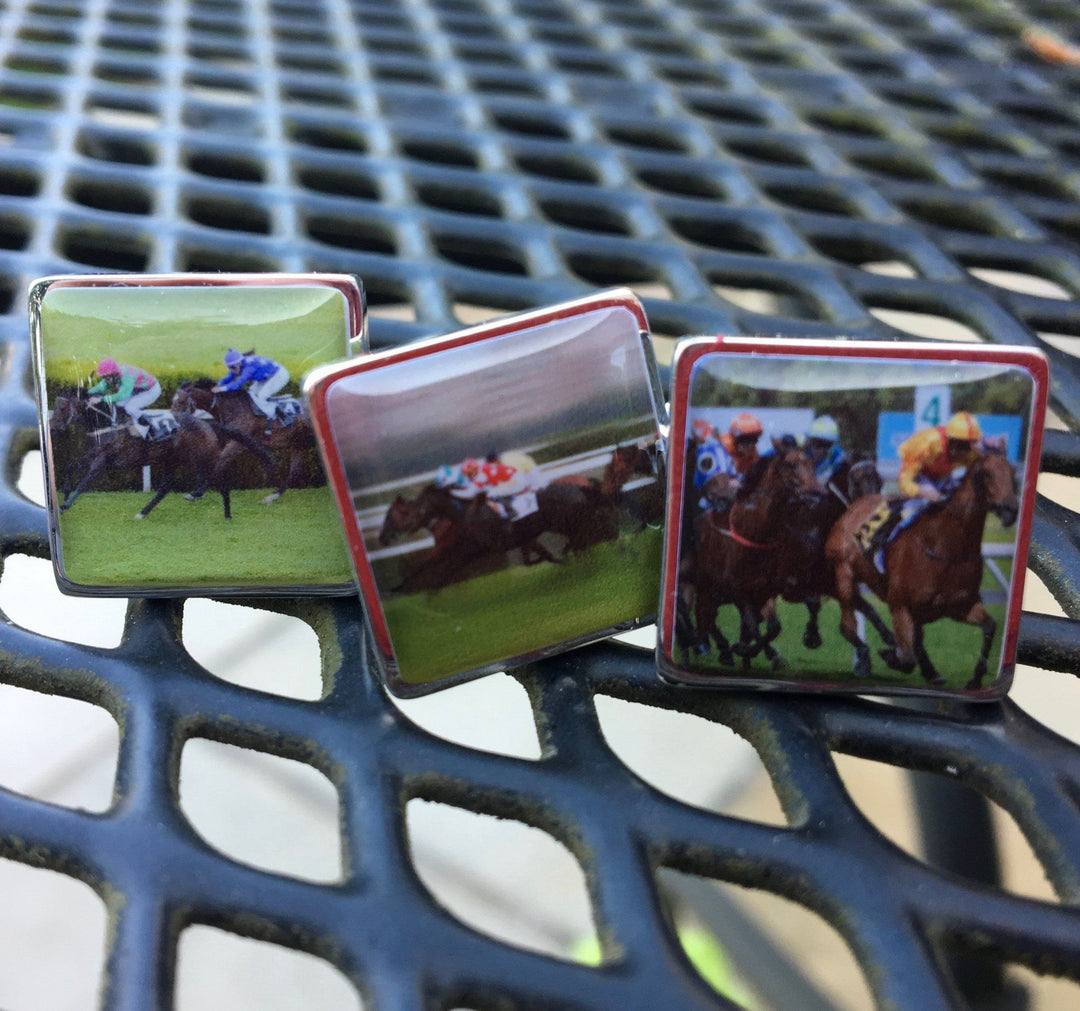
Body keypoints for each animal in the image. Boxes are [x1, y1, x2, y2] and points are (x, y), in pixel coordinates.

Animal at [49, 386, 270, 520]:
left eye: (62, 406)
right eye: (55, 406)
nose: (52, 427)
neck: (106, 424)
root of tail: (208, 425)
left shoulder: (102, 462)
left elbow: (84, 483)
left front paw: (64, 505)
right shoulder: (94, 455)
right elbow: (70, 467)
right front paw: (64, 495)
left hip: (201, 459)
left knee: (219, 479)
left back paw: (227, 514)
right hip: (171, 459)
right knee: (166, 486)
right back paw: (143, 513)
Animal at [168, 378, 313, 503]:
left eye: (181, 402)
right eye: (172, 401)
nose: (173, 423)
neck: (232, 408)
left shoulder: (237, 443)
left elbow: (221, 461)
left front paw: (196, 493)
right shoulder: (241, 440)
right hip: (299, 443)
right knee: (295, 472)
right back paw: (272, 497)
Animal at [829, 447, 1015, 691]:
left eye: (1013, 474)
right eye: (986, 474)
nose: (1010, 510)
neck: (945, 548)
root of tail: (858, 502)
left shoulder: (961, 606)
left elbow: (990, 626)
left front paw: (975, 679)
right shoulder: (899, 605)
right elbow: (906, 656)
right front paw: (891, 655)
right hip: (843, 573)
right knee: (848, 626)